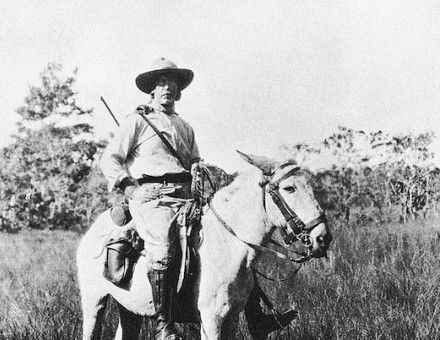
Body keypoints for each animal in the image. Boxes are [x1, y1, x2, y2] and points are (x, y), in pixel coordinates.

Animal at [76, 153, 330, 340]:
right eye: (289, 189)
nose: (323, 238)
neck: (227, 244)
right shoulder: (211, 318)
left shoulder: (231, 317)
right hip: (94, 302)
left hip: (130, 309)